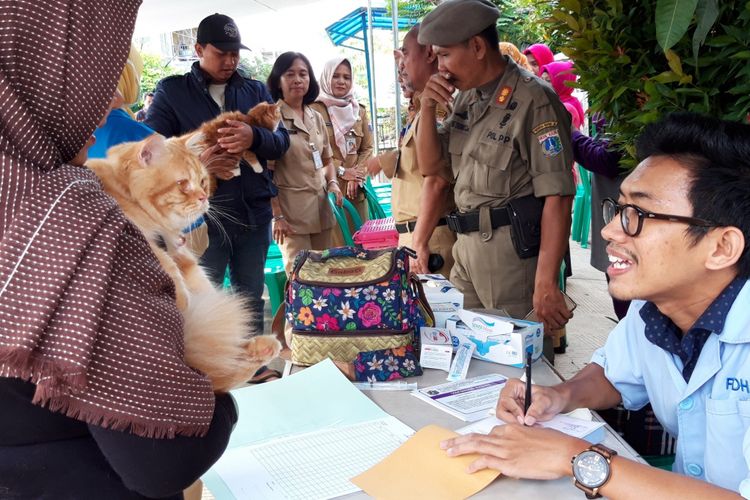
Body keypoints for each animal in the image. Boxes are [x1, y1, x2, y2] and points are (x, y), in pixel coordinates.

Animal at [88, 135, 282, 392]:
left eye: (202, 181)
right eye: (182, 184)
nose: (203, 198)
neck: (127, 193)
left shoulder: (183, 256)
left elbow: (196, 280)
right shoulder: (130, 229)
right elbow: (163, 259)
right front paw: (182, 299)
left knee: (219, 371)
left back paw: (262, 347)